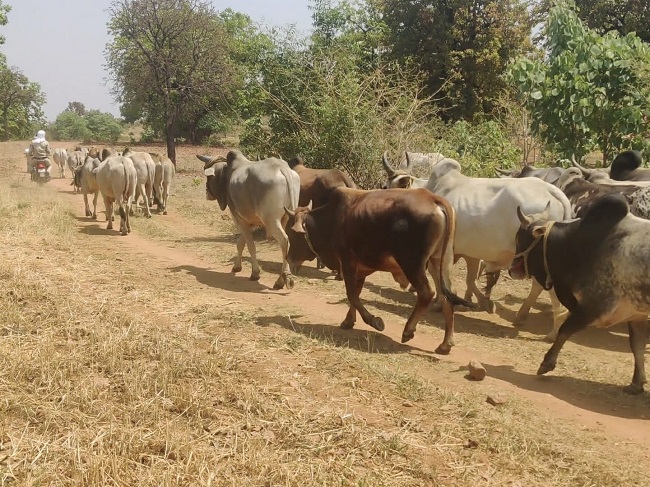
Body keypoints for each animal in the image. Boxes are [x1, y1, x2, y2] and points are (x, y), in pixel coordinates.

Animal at [286, 188, 474, 354]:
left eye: (292, 233)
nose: (289, 260)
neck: (331, 220)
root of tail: (433, 198)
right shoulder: (359, 269)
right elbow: (355, 295)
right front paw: (348, 321)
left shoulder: (348, 263)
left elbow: (352, 295)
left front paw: (374, 321)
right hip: (439, 261)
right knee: (446, 296)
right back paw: (445, 344)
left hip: (412, 264)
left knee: (427, 293)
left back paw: (408, 330)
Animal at [382, 152, 568, 340]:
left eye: (386, 187)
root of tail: (553, 191)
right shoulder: (470, 253)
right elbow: (469, 279)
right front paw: (473, 301)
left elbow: (443, 276)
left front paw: (449, 302)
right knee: (538, 287)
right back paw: (522, 317)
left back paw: (552, 331)